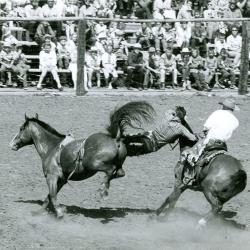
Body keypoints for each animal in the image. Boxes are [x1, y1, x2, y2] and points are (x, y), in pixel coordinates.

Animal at [10, 100, 155, 218]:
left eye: (21, 128)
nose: (12, 144)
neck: (51, 148)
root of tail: (116, 138)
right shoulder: (61, 180)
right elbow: (49, 197)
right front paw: (38, 212)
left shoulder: (51, 177)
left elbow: (52, 195)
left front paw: (60, 213)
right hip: (117, 164)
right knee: (119, 173)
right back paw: (104, 187)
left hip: (94, 164)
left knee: (110, 170)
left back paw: (102, 191)